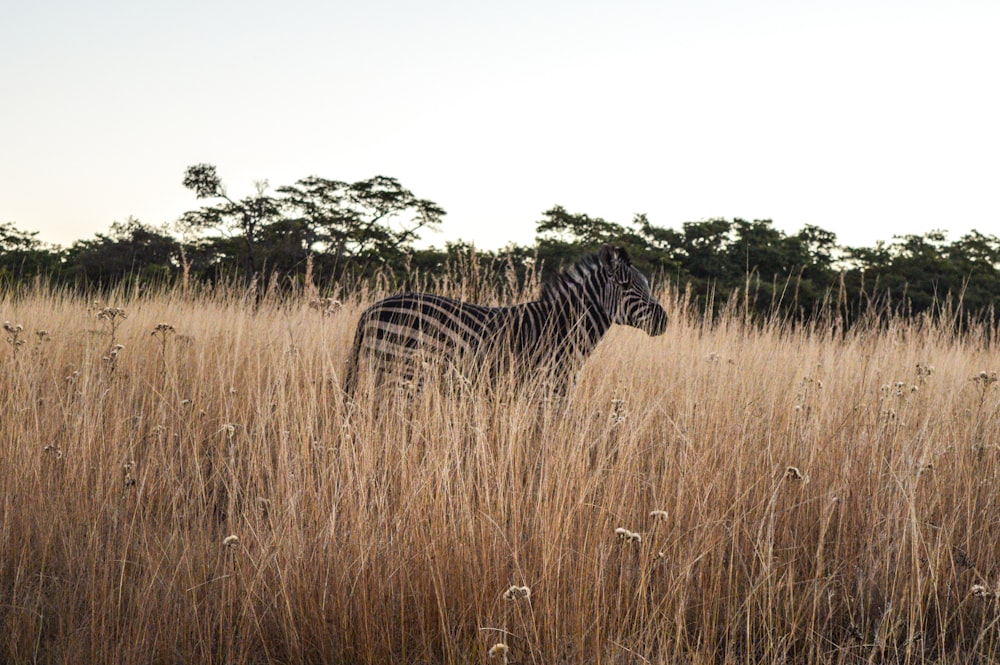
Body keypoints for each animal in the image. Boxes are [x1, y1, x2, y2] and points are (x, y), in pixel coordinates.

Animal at [340, 245, 668, 396]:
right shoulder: (550, 388)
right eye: (626, 286)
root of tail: (371, 309)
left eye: (646, 284)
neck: (563, 325)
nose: (664, 321)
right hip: (403, 374)